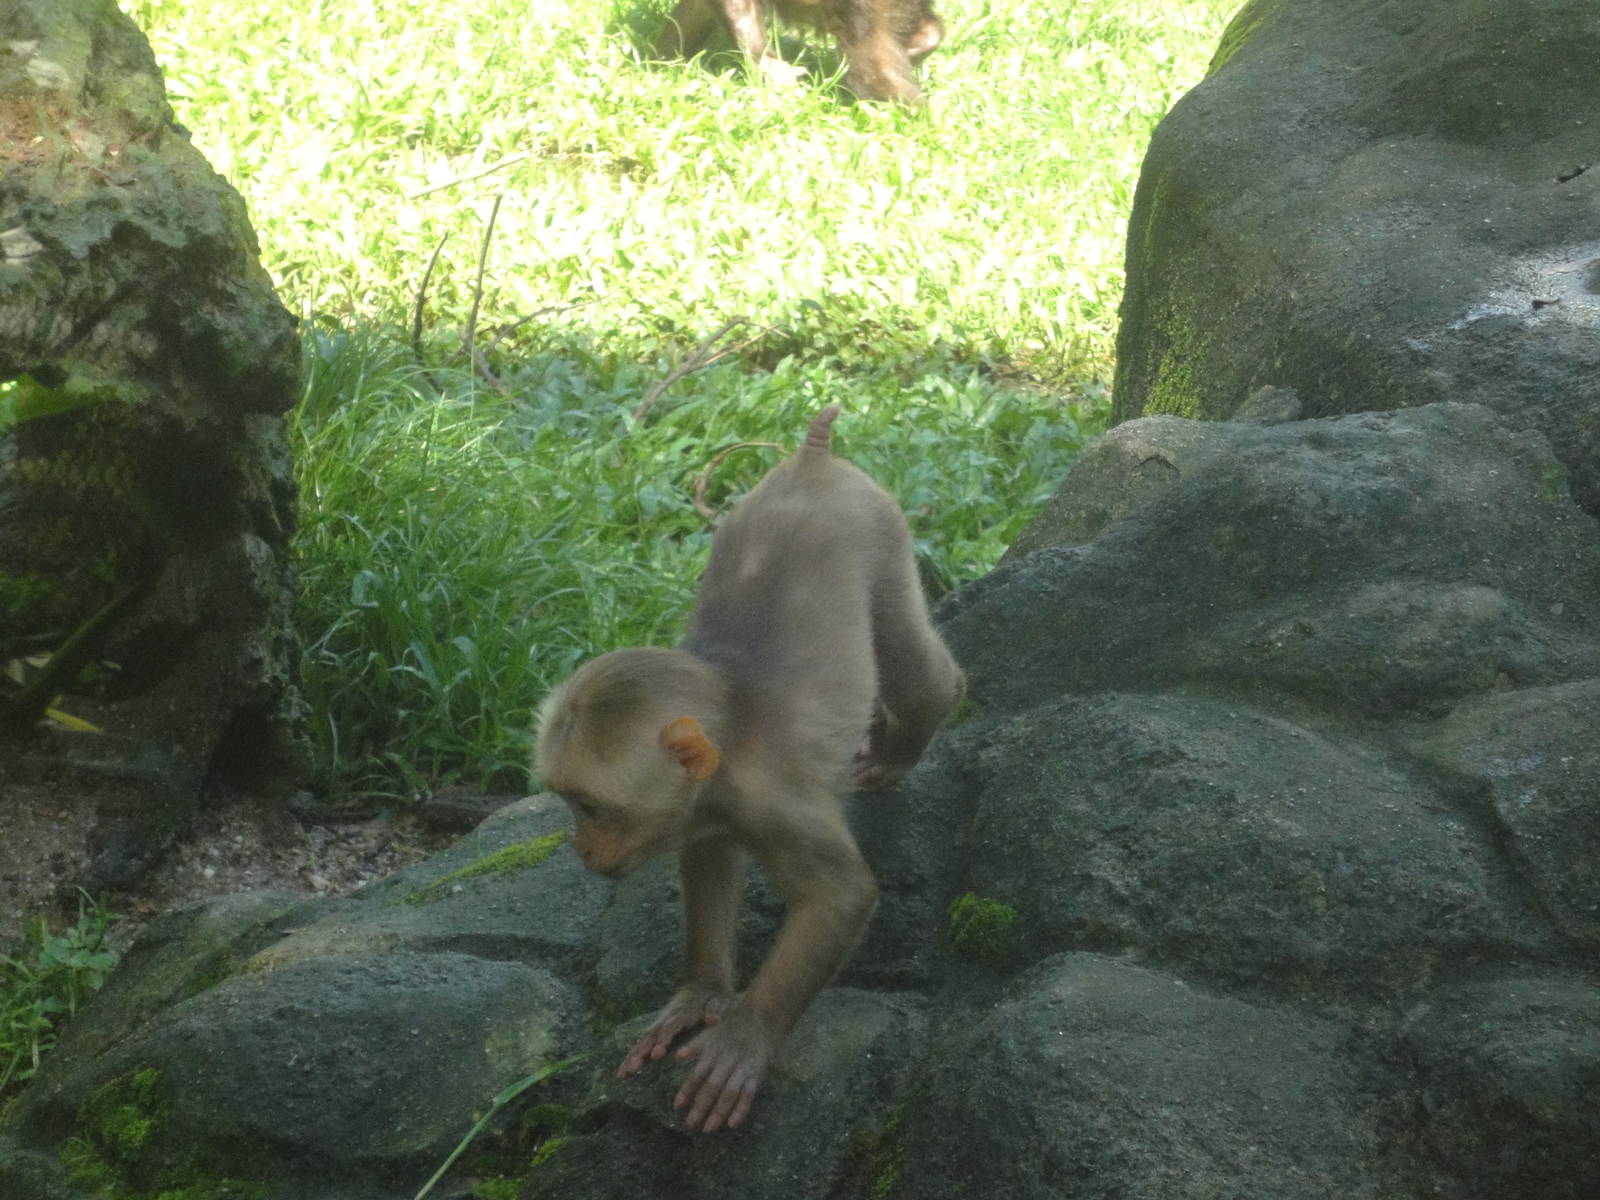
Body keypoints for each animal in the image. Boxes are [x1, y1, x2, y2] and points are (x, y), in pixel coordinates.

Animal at [535, 406, 963, 1132]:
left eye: (590, 808)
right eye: (566, 803)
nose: (581, 849)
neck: (729, 739)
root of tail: (810, 463)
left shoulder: (772, 799)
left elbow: (840, 898)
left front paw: (744, 1038)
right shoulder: (705, 808)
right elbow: (710, 862)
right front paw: (701, 995)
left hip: (881, 530)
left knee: (915, 672)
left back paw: (908, 737)